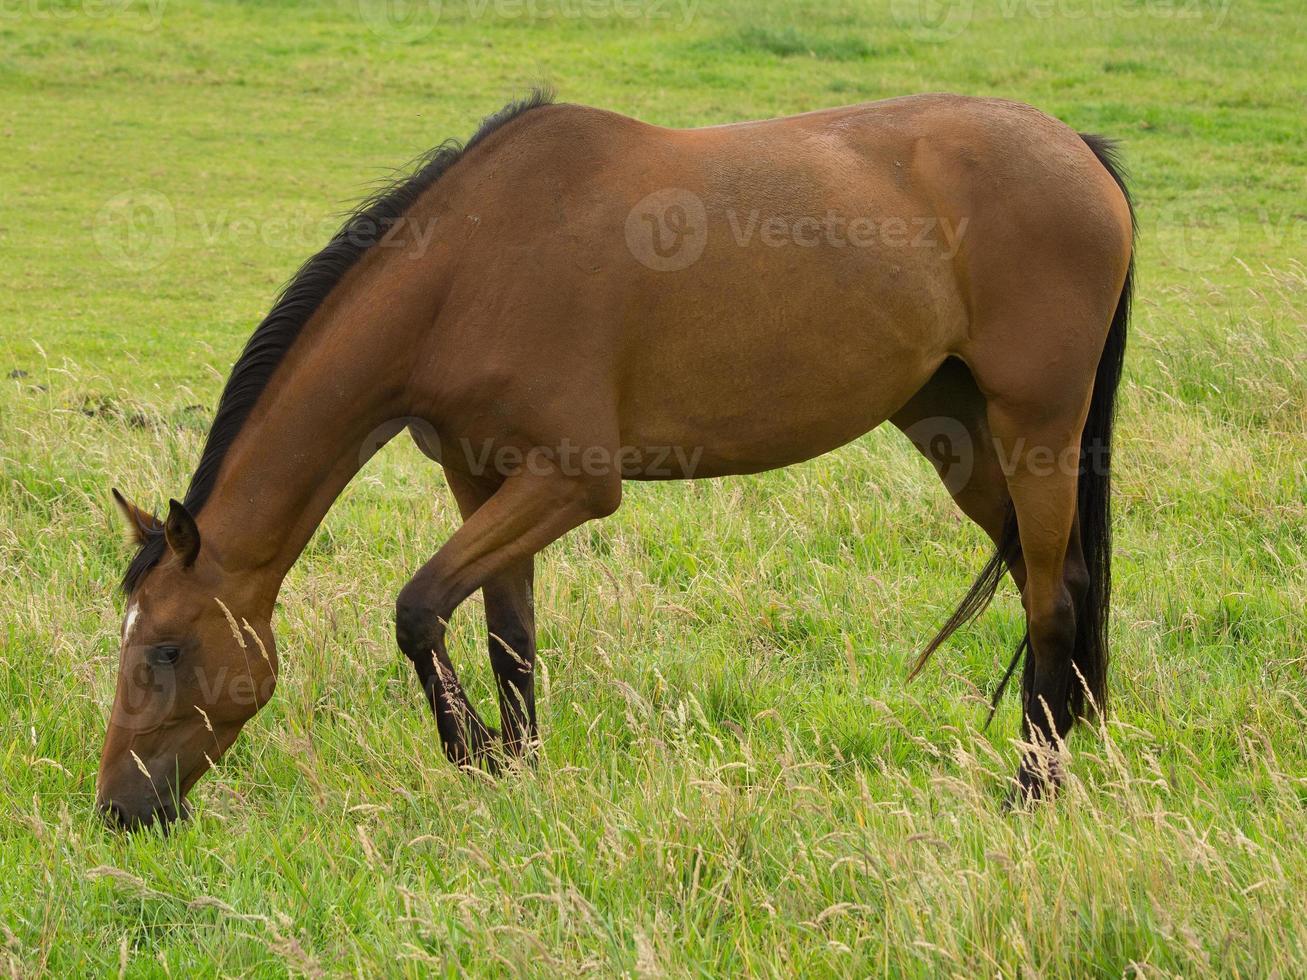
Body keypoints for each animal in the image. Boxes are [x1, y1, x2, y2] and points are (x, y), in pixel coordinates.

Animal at [96, 90, 1134, 831]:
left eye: (166, 648)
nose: (117, 809)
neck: (470, 266)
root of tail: (1078, 149)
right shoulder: (480, 476)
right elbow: (505, 635)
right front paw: (515, 776)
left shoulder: (571, 483)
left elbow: (417, 608)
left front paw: (472, 753)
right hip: (953, 429)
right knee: (1059, 582)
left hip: (1034, 424)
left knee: (1051, 600)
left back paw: (1030, 792)